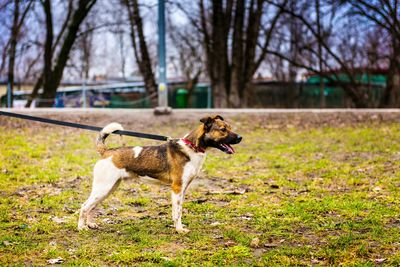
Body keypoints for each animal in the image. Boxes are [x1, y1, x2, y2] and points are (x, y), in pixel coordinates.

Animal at [77, 116, 241, 233]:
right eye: (223, 129)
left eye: (229, 128)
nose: (240, 137)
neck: (191, 148)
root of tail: (106, 151)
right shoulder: (177, 188)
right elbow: (177, 212)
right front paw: (179, 230)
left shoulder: (182, 189)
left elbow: (178, 210)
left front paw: (179, 227)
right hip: (103, 188)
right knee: (85, 206)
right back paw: (81, 228)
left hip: (108, 189)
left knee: (92, 207)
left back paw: (91, 224)